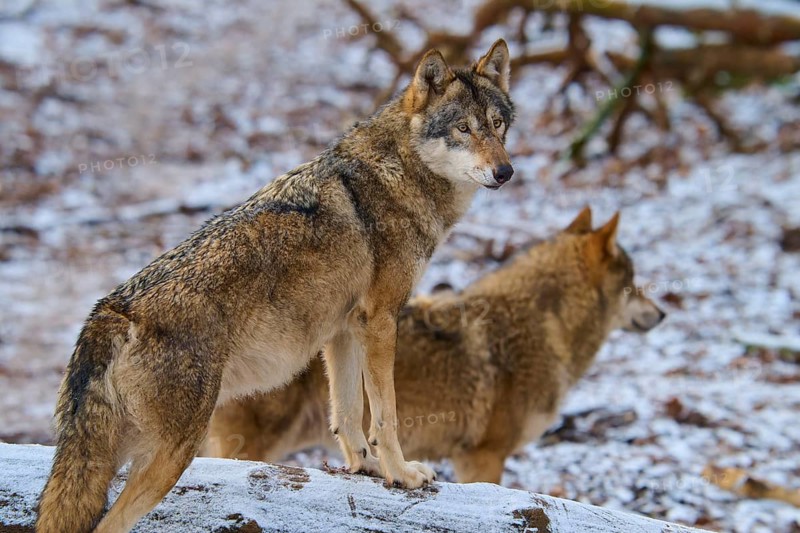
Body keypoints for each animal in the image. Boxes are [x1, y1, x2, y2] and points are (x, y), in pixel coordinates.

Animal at [36, 40, 515, 532]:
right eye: (463, 128)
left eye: (497, 125)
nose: (506, 172)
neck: (399, 171)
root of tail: (112, 311)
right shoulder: (381, 321)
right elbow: (386, 414)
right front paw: (400, 474)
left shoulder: (345, 329)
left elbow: (347, 413)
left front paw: (363, 466)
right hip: (171, 454)